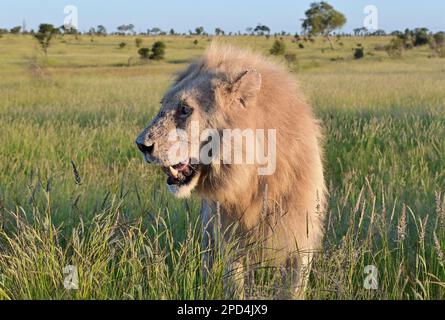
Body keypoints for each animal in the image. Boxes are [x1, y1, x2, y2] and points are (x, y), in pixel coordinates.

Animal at [135, 42, 326, 298]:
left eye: (184, 109)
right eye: (162, 105)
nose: (140, 145)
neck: (256, 180)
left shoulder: (301, 240)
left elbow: (294, 288)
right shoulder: (230, 239)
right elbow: (234, 286)